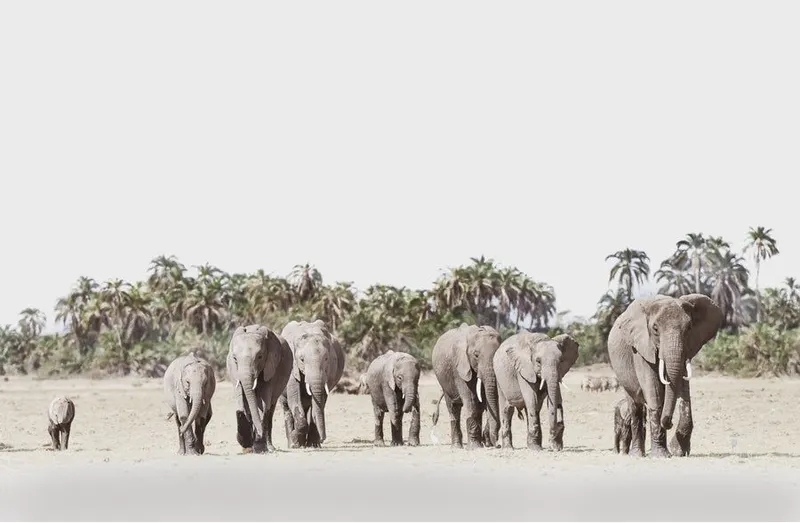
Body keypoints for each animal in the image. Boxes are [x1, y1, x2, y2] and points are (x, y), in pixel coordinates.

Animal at [226, 324, 293, 453]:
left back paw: (270, 447)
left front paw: (259, 448)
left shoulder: (271, 367)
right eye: (235, 359)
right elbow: (244, 400)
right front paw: (248, 448)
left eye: (260, 357)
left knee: (270, 408)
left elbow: (262, 403)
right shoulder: (234, 372)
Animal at [279, 319, 345, 448]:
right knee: (287, 407)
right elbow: (294, 400)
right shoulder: (291, 368)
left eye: (326, 359)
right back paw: (293, 444)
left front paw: (313, 445)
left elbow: (318, 405)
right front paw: (295, 441)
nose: (323, 439)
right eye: (302, 359)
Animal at [607, 293, 723, 458]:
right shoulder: (641, 348)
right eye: (655, 329)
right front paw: (661, 455)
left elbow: (684, 392)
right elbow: (654, 391)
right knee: (635, 405)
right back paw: (636, 455)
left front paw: (678, 451)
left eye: (689, 328)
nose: (670, 422)